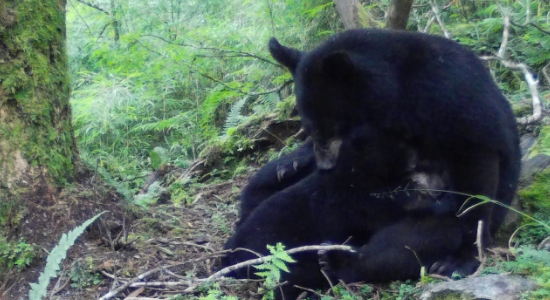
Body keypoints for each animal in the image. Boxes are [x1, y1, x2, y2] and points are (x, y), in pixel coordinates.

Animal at [270, 29, 520, 270]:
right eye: (310, 128)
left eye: (332, 128)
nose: (325, 167)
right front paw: (290, 163)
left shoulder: (450, 96)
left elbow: (475, 173)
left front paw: (464, 257)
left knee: (415, 239)